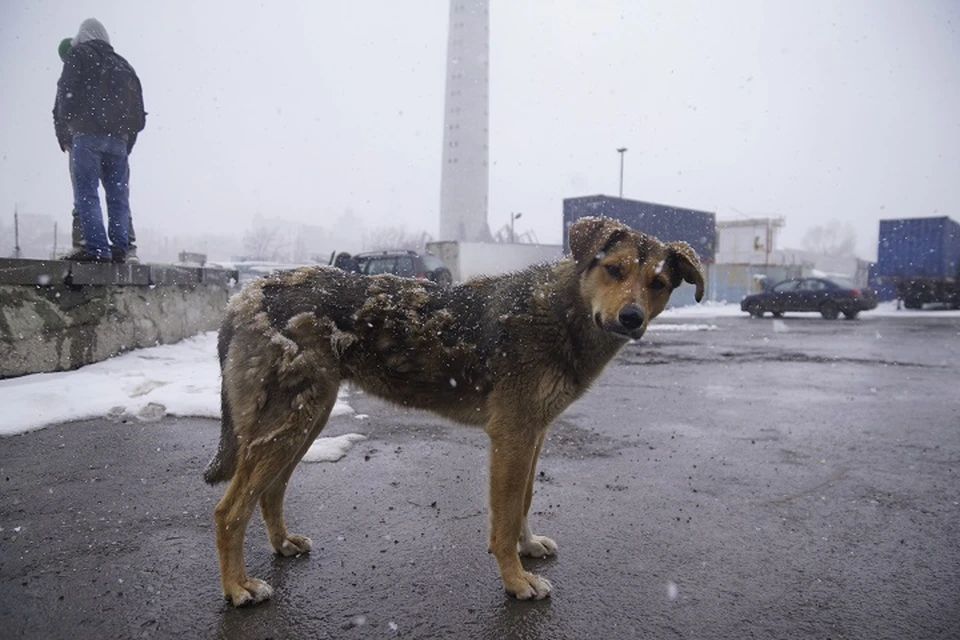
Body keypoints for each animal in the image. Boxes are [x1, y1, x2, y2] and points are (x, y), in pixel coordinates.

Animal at [204, 215, 704, 604]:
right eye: (614, 270)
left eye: (658, 283)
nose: (631, 319)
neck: (561, 312)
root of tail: (246, 296)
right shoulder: (512, 436)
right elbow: (505, 518)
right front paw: (516, 581)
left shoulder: (534, 433)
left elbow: (524, 501)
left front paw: (527, 548)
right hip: (290, 422)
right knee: (229, 511)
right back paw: (237, 588)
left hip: (306, 420)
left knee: (270, 491)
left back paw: (282, 543)